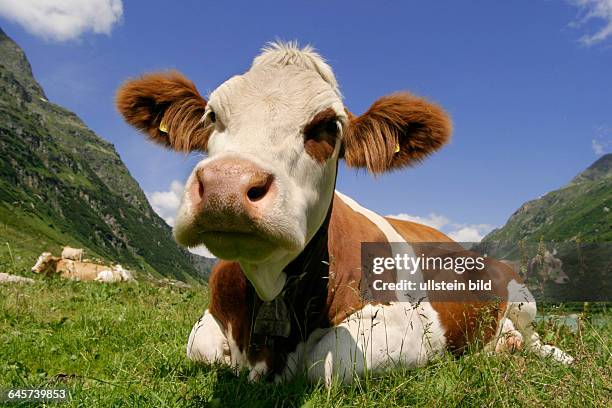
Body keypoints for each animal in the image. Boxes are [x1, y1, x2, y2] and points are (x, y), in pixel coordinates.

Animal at [116, 42, 572, 386]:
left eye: (327, 126)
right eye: (212, 116)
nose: (227, 186)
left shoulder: (413, 326)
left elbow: (326, 362)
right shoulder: (209, 325)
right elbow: (203, 349)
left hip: (524, 300)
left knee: (534, 338)